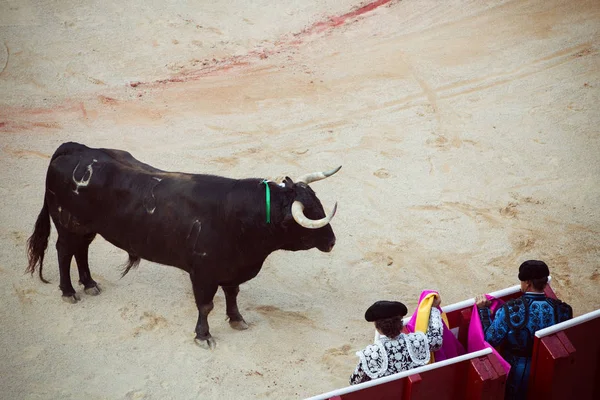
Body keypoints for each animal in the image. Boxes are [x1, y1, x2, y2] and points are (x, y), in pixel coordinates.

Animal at [27, 142, 342, 348]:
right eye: (309, 215)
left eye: (319, 204)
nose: (331, 241)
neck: (240, 217)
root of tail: (74, 148)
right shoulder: (203, 274)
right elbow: (205, 305)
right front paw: (204, 336)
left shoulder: (232, 268)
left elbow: (232, 294)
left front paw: (237, 319)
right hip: (68, 224)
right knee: (64, 251)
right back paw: (69, 291)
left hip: (87, 229)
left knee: (81, 251)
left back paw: (90, 284)